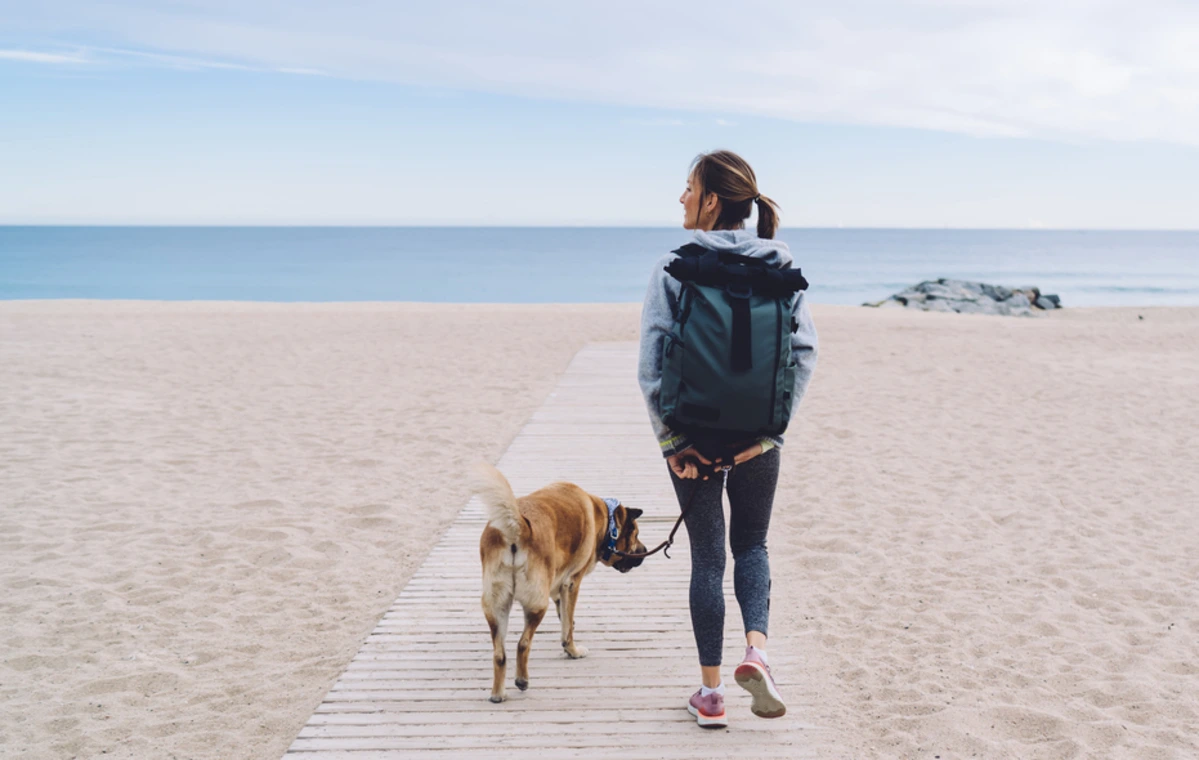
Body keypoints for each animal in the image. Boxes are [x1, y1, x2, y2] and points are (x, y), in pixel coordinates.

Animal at [474, 457, 647, 700]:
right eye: (636, 535)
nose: (645, 551)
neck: (605, 518)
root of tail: (519, 527)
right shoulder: (572, 583)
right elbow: (568, 628)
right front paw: (572, 650)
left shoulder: (558, 587)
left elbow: (565, 618)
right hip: (537, 604)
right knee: (523, 644)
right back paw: (522, 680)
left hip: (496, 607)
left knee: (500, 655)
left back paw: (498, 694)